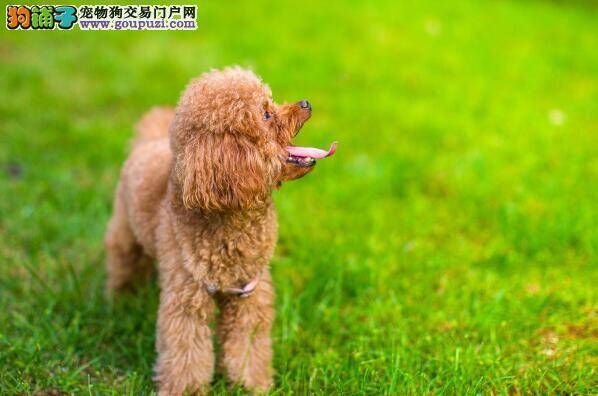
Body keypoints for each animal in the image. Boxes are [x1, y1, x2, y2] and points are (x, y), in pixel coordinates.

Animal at [105, 66, 336, 394]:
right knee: (123, 264)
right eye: (266, 114)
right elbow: (186, 352)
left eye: (270, 101)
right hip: (124, 232)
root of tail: (147, 142)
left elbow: (247, 344)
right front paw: (187, 389)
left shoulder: (249, 293)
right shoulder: (187, 298)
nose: (305, 103)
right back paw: (121, 302)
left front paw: (251, 384)